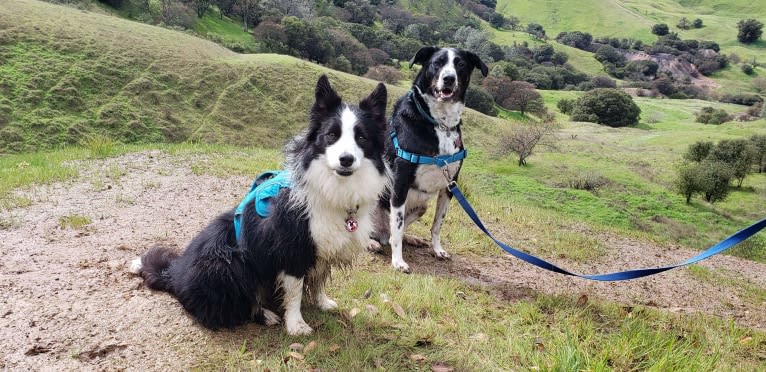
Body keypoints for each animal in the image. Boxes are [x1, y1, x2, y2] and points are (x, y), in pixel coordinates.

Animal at [129, 75, 390, 334]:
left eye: (362, 137)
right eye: (331, 135)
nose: (346, 160)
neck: (334, 187)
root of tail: (174, 276)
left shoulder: (324, 247)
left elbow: (319, 279)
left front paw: (322, 302)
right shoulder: (292, 249)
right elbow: (294, 293)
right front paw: (296, 324)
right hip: (226, 263)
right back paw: (264, 314)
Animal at [368, 46, 488, 274]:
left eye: (460, 64)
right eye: (437, 63)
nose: (449, 78)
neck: (440, 123)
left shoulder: (450, 186)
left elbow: (437, 225)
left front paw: (437, 250)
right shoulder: (400, 183)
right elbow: (397, 228)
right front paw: (398, 261)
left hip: (421, 207)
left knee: (395, 232)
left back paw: (410, 239)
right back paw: (370, 242)